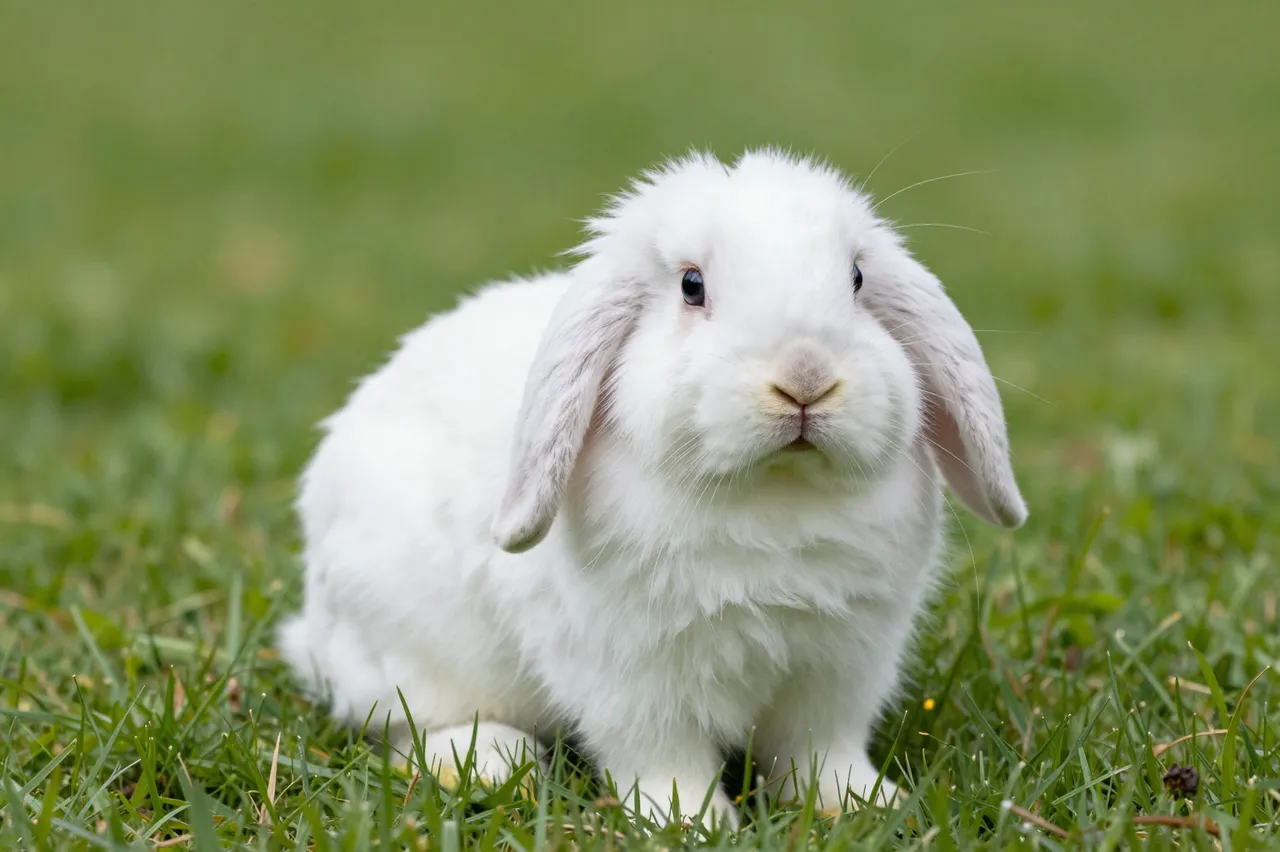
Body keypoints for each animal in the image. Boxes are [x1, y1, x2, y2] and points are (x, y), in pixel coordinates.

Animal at [278, 148, 1026, 827]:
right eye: (692, 286)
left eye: (858, 278)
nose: (806, 377)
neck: (773, 497)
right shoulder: (636, 677)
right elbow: (662, 756)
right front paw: (689, 823)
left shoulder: (840, 669)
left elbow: (819, 752)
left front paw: (863, 806)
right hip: (410, 647)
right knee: (412, 725)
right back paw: (489, 762)